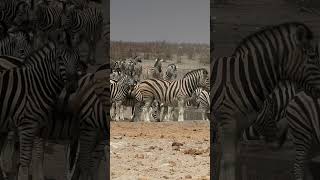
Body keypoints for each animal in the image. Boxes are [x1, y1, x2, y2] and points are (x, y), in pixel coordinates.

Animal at [0, 40, 80, 180]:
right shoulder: (29, 126)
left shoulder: (39, 127)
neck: (36, 86)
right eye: (60, 58)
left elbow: (38, 154)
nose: (72, 86)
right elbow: (28, 158)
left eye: (77, 59)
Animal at [211, 21, 320, 179]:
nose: (278, 139)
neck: (244, 79)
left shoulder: (239, 124)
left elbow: (231, 161)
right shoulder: (227, 122)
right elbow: (228, 161)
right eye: (312, 57)